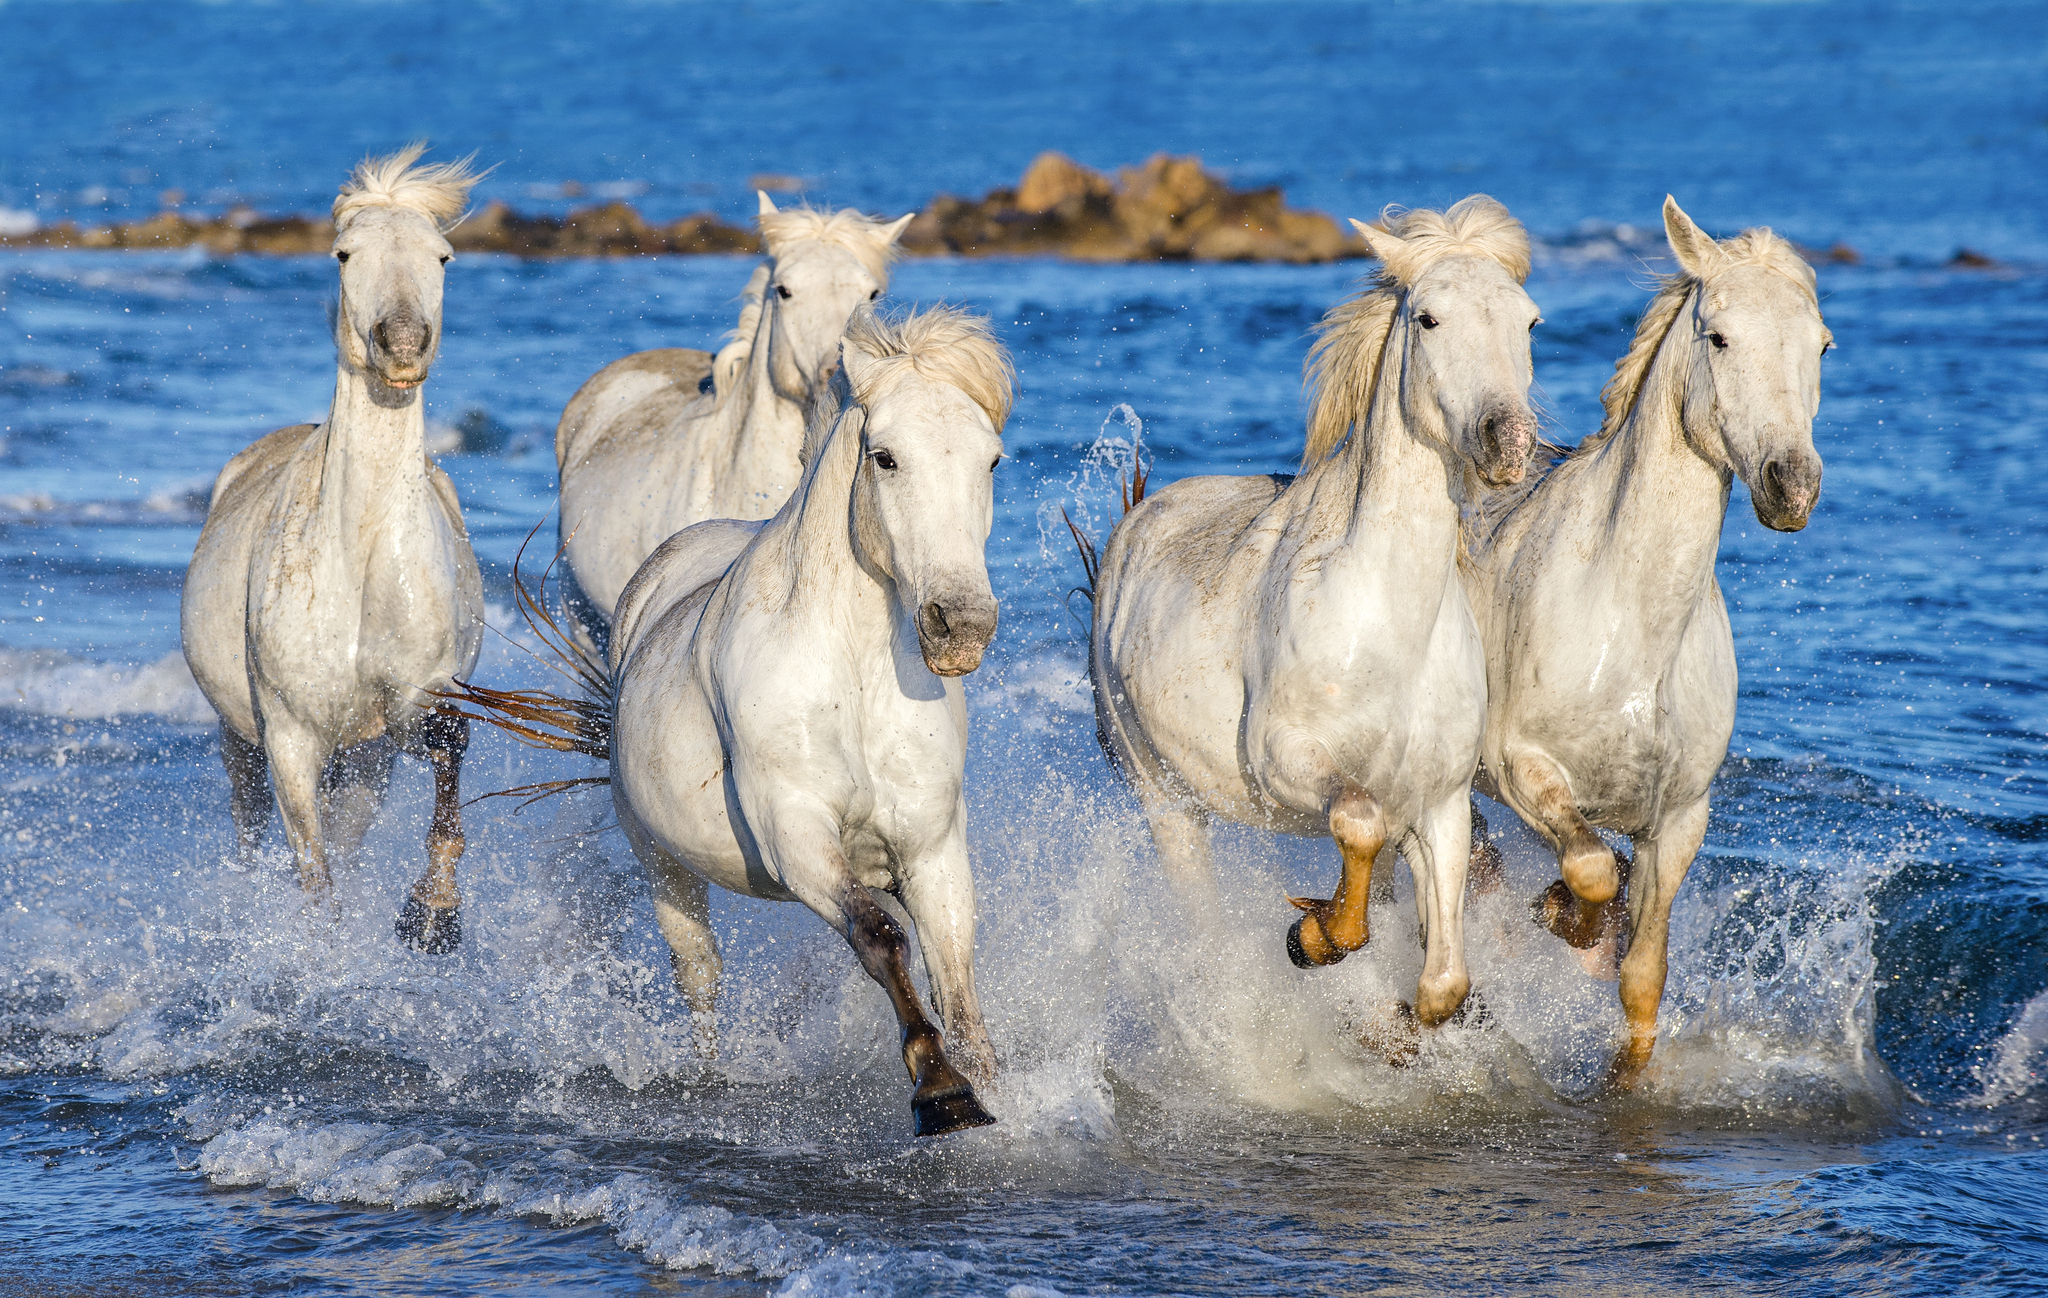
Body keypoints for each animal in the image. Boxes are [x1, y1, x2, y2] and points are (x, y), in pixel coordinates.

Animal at [181, 145, 487, 954]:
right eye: (344, 253)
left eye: (443, 256)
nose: (402, 344)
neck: (362, 558)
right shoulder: (290, 736)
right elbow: (313, 877)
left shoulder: (410, 709)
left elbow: (450, 744)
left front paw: (433, 916)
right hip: (241, 741)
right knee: (251, 828)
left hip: (364, 763)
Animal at [449, 305, 1013, 1137]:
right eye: (885, 458)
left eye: (992, 460)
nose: (961, 626)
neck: (852, 676)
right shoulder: (794, 832)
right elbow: (882, 940)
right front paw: (939, 1091)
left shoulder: (930, 846)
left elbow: (957, 978)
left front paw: (988, 1089)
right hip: (662, 864)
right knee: (700, 974)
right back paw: (706, 1078)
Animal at [1087, 196, 1541, 1031]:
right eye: (1428, 317)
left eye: (1529, 321)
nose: (1510, 442)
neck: (1386, 629)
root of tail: (1138, 518)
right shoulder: (1286, 762)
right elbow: (1356, 820)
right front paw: (1315, 938)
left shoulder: (1440, 804)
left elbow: (1442, 985)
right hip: (1165, 804)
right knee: (1204, 928)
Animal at [1465, 197, 1829, 1090]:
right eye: (1719, 337)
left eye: (1822, 345)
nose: (1792, 485)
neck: (1630, 630)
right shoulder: (1522, 770)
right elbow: (1591, 870)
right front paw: (1565, 919)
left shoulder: (1679, 819)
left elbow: (1642, 978)